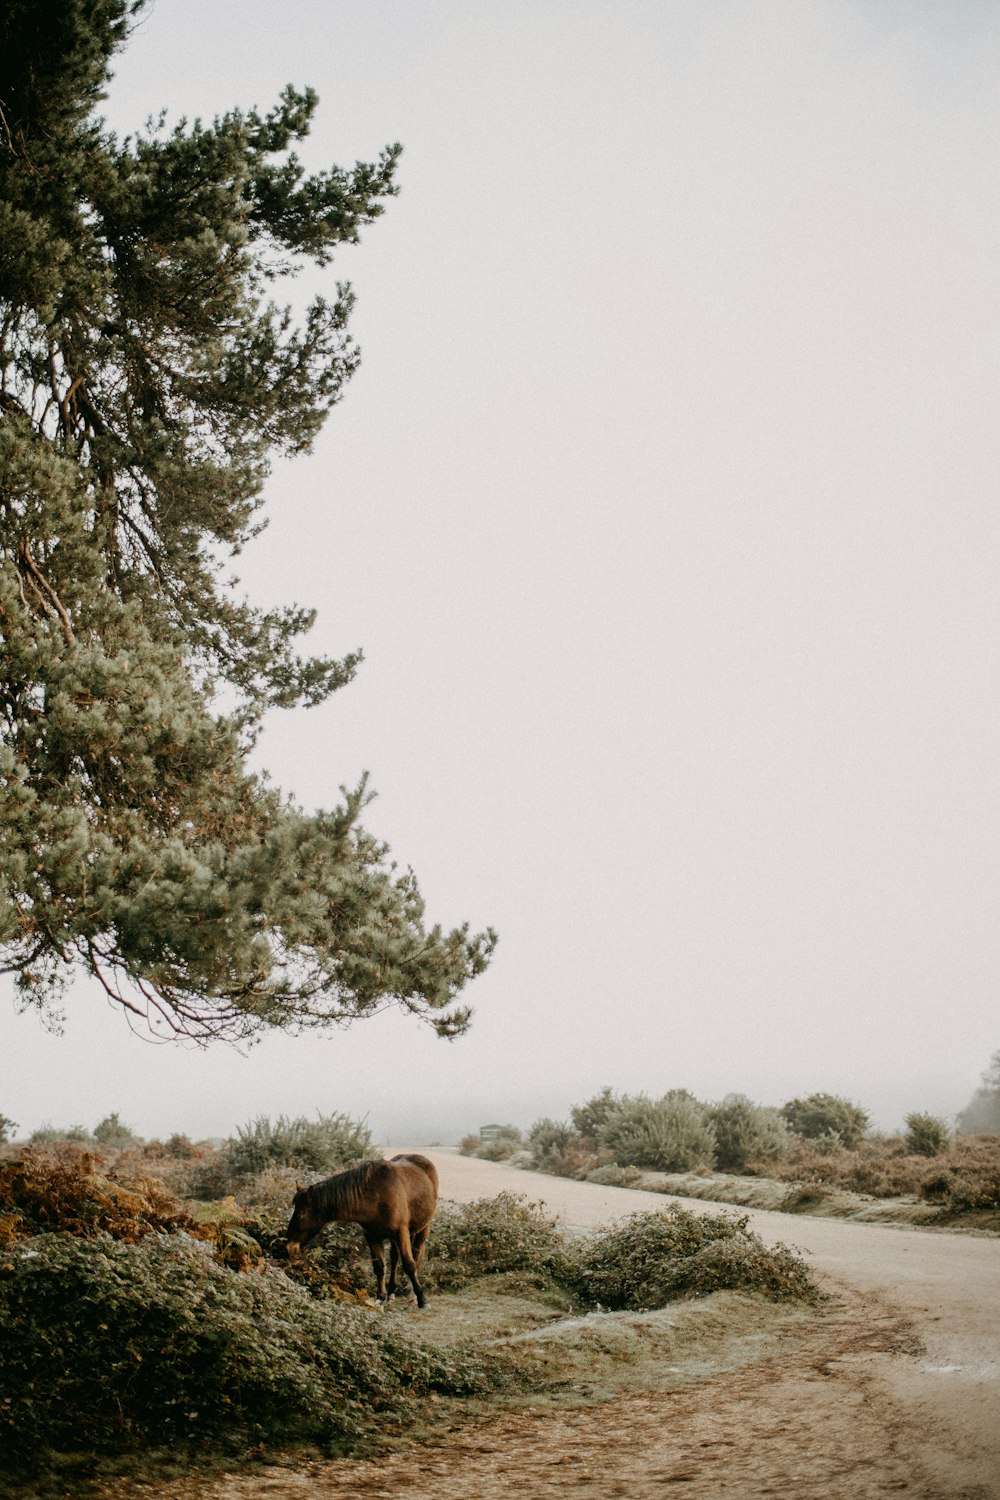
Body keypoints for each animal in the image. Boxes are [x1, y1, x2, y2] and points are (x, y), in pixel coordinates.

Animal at [281, 1152, 437, 1308]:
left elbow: (409, 1265)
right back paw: (392, 1293)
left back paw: (412, 1295)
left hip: (421, 1229)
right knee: (394, 1258)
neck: (377, 1195)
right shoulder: (372, 1236)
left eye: (300, 1216)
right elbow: (379, 1266)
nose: (289, 1248)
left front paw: (422, 1299)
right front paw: (380, 1298)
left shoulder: (400, 1232)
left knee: (415, 1255)